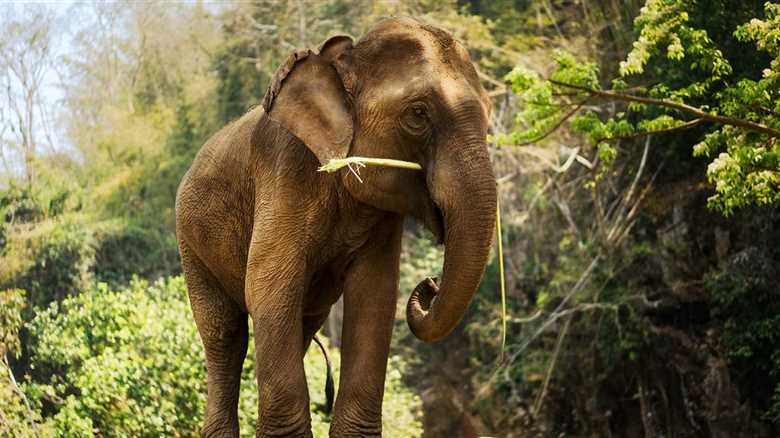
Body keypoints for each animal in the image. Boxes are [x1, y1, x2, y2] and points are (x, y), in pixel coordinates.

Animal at [175, 17, 497, 437]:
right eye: (418, 114)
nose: (430, 283)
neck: (343, 61)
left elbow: (374, 295)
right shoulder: (284, 169)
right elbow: (267, 285)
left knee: (301, 325)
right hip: (190, 242)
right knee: (225, 334)